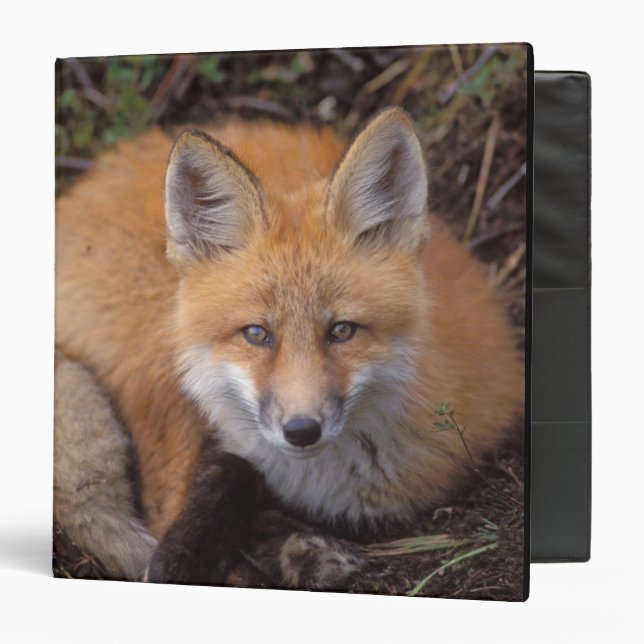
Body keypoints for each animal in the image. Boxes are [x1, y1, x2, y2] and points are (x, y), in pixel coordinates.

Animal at [55, 107, 524, 587]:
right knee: (154, 506)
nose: (301, 430)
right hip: (158, 361)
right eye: (257, 333)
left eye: (342, 330)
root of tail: (82, 191)